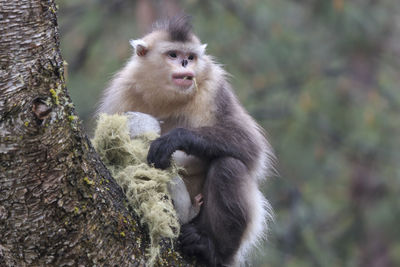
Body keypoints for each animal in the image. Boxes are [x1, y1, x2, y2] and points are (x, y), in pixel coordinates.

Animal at [98, 15, 274, 267]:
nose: (184, 64)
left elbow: (251, 147)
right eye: (173, 55)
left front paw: (175, 139)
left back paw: (212, 250)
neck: (165, 99)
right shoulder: (120, 94)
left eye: (190, 57)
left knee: (228, 166)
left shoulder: (213, 86)